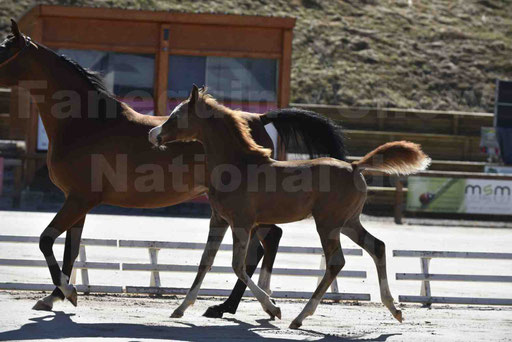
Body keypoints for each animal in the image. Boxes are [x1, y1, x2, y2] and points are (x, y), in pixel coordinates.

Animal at [153, 85, 432, 328]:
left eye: (176, 116)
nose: (153, 134)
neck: (239, 165)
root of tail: (355, 166)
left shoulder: (242, 223)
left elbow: (237, 265)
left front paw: (272, 307)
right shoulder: (219, 219)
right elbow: (205, 261)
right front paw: (180, 308)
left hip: (328, 224)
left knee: (336, 262)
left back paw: (300, 317)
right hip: (348, 223)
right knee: (377, 247)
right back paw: (394, 309)